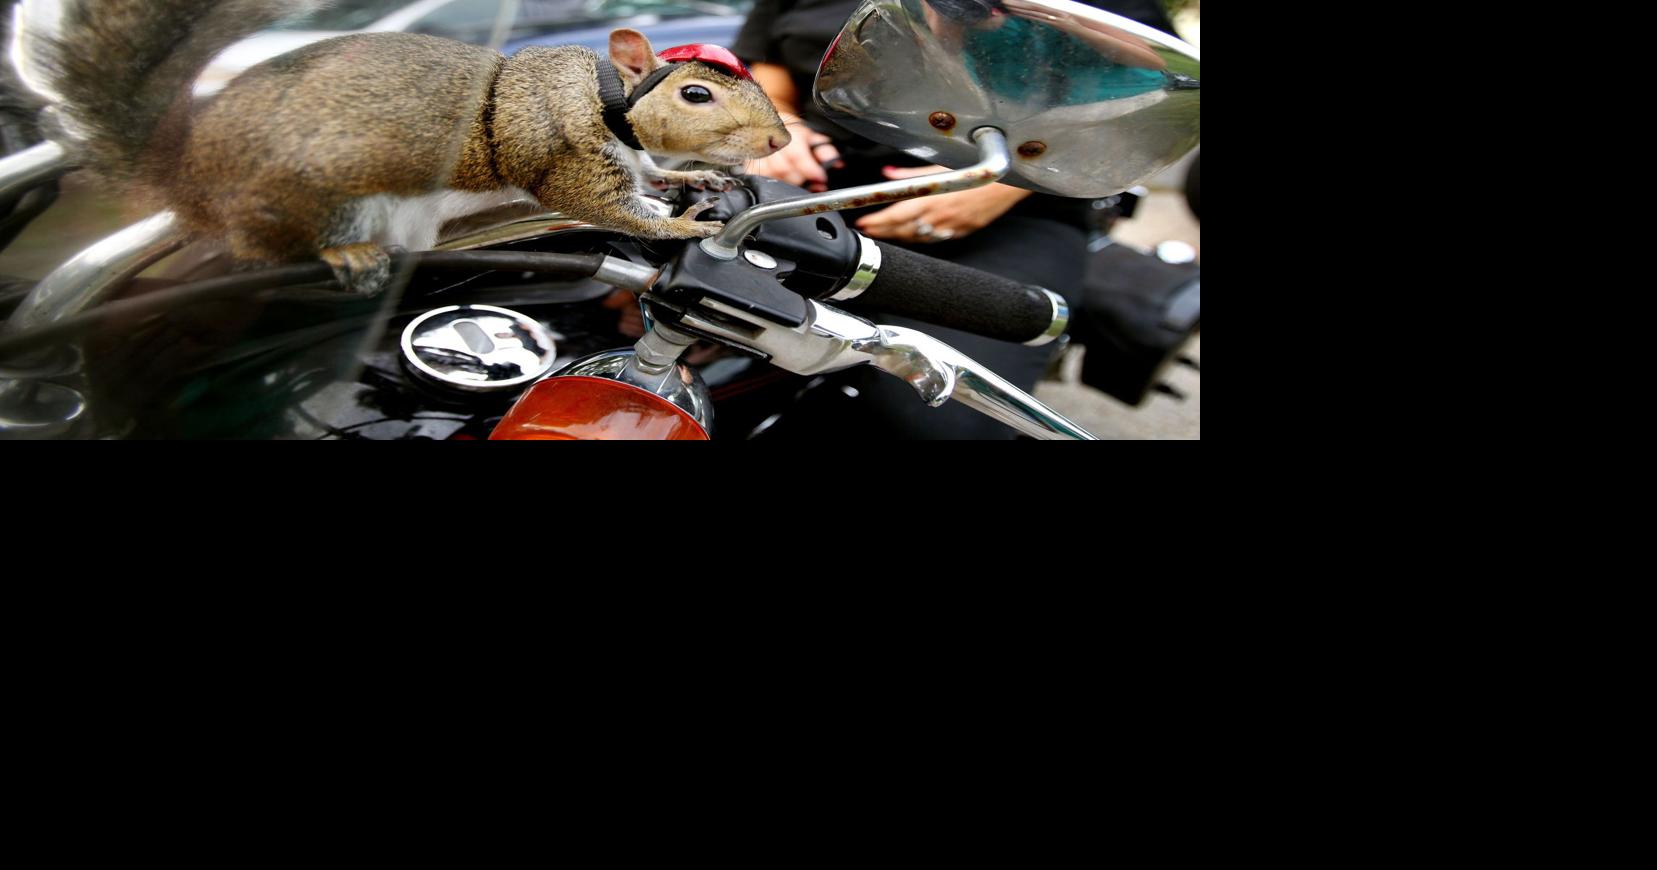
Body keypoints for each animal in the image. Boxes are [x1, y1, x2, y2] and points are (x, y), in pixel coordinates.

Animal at [17, 0, 791, 290]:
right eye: (697, 94)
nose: (781, 136)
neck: (607, 100)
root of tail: (187, 179)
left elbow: (650, 177)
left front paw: (696, 182)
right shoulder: (563, 157)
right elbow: (611, 210)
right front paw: (687, 225)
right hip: (320, 199)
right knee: (281, 247)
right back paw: (346, 254)